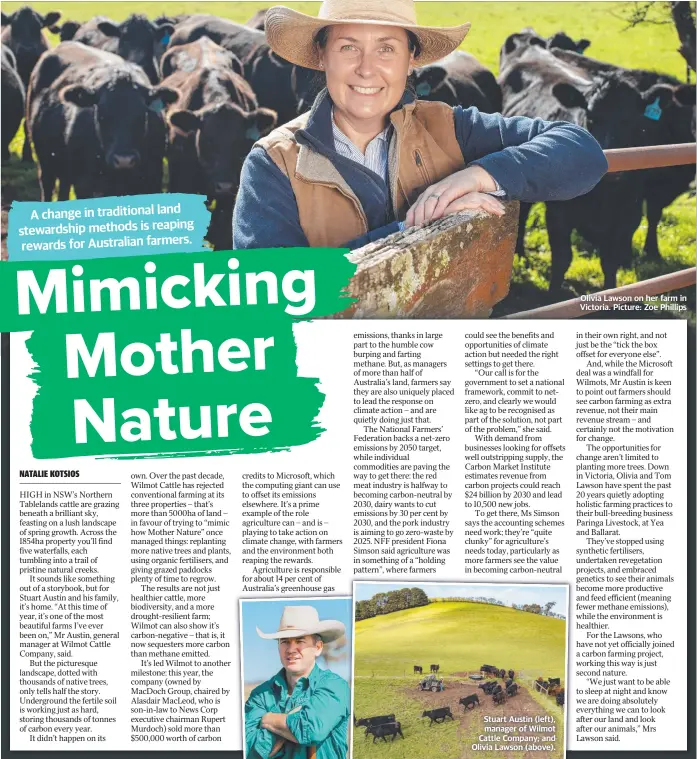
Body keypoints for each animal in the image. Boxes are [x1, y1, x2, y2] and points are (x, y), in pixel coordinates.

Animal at [27, 41, 175, 200]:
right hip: (45, 162)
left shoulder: (152, 181)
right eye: (102, 115)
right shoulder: (85, 185)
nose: (124, 160)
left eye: (143, 115)